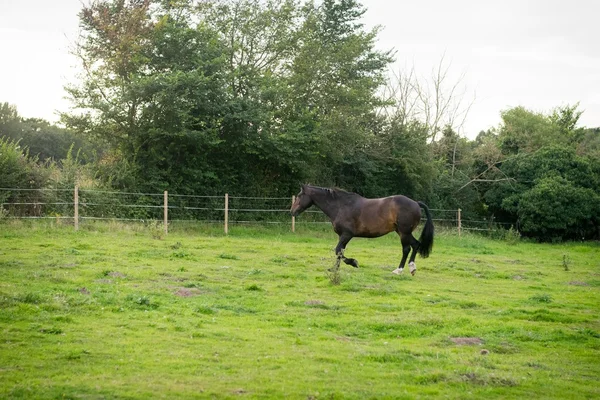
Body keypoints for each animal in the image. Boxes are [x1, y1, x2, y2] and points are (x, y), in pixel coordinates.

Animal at [290, 184, 434, 276]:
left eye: (299, 195)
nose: (292, 211)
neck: (341, 206)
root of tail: (416, 203)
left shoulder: (347, 235)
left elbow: (338, 251)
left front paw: (353, 262)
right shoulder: (342, 236)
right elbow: (340, 252)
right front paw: (334, 269)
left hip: (404, 233)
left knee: (408, 248)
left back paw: (400, 270)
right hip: (402, 232)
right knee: (414, 245)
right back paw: (410, 268)